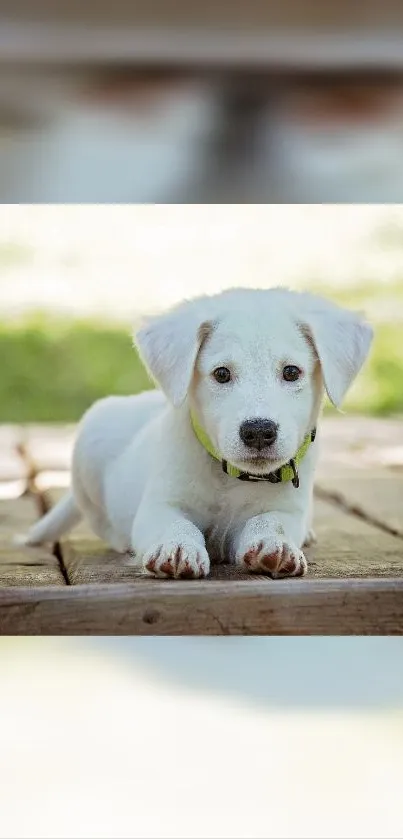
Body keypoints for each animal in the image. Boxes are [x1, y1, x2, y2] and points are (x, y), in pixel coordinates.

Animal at [25, 288, 374, 576]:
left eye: (291, 372)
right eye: (221, 374)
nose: (258, 431)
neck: (228, 477)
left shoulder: (286, 509)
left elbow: (271, 521)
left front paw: (274, 545)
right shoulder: (160, 505)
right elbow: (176, 524)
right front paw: (177, 547)